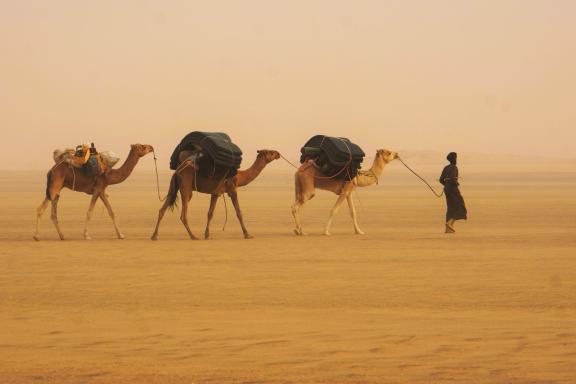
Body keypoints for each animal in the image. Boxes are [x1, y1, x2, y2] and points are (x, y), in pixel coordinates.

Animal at [151, 149, 282, 240]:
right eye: (270, 152)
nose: (278, 153)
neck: (239, 177)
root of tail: (177, 171)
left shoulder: (216, 193)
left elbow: (210, 213)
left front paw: (207, 234)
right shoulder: (232, 189)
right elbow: (239, 213)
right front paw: (247, 234)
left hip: (174, 186)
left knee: (162, 209)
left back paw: (154, 236)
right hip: (186, 186)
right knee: (183, 213)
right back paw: (193, 236)